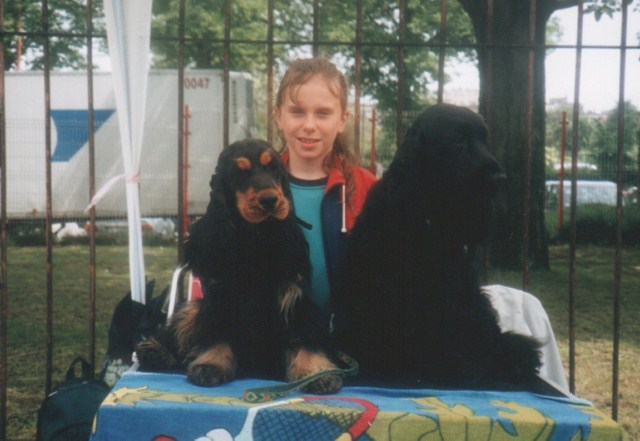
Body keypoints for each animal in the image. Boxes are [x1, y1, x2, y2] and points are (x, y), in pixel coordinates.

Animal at [136, 139, 343, 394]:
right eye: (239, 173)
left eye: (272, 168)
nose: (269, 200)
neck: (255, 236)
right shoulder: (221, 298)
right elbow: (217, 333)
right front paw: (211, 364)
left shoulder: (296, 297)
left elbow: (306, 336)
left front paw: (318, 373)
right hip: (194, 308)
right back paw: (155, 351)